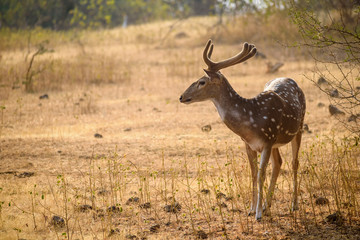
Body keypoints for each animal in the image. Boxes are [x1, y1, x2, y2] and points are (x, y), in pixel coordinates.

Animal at [179, 39, 306, 221]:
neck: (251, 121)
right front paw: (252, 209)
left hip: (299, 127)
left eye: (202, 82)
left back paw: (293, 205)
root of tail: (291, 80)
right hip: (277, 142)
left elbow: (261, 174)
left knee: (295, 163)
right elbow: (253, 173)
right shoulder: (249, 144)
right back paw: (268, 206)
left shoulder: (267, 140)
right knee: (279, 163)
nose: (181, 97)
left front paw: (258, 214)